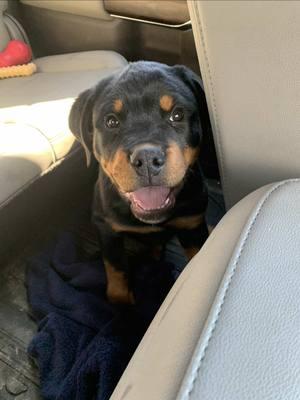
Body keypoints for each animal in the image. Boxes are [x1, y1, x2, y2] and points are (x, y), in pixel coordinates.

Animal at [68, 61, 209, 304]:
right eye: (111, 121)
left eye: (177, 114)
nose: (147, 158)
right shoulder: (107, 229)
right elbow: (115, 268)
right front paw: (120, 302)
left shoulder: (192, 225)